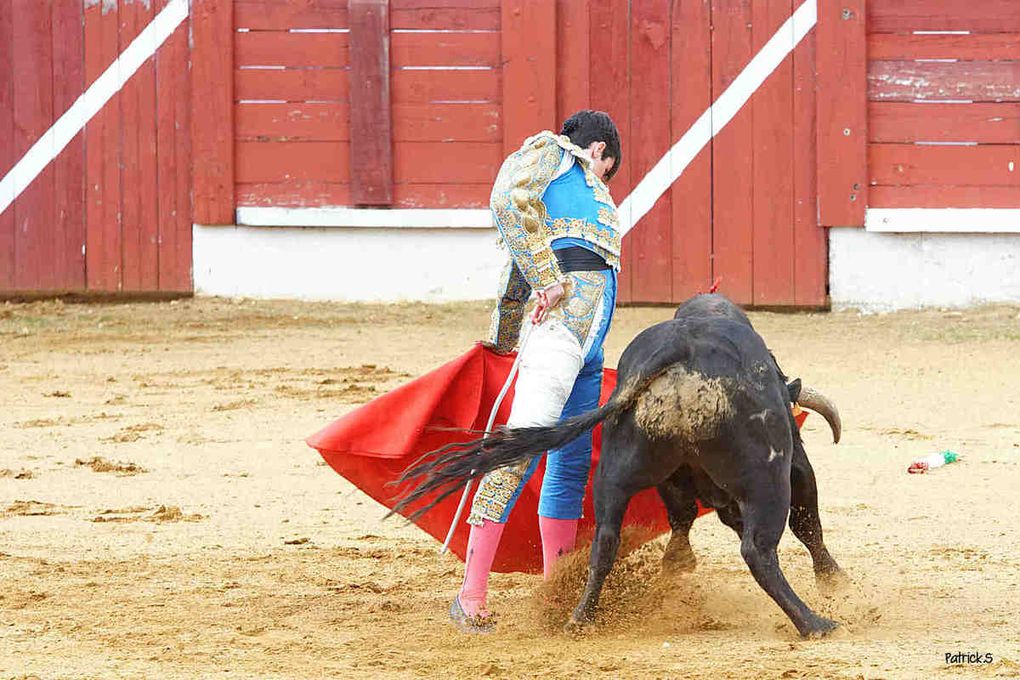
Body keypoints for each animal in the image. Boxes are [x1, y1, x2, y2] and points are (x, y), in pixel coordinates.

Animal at [393, 293, 848, 640]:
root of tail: (682, 348)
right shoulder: (795, 463)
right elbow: (807, 522)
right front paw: (833, 579)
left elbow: (681, 517)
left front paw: (676, 563)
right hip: (768, 477)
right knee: (759, 549)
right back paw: (815, 623)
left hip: (614, 474)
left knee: (605, 541)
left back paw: (580, 618)